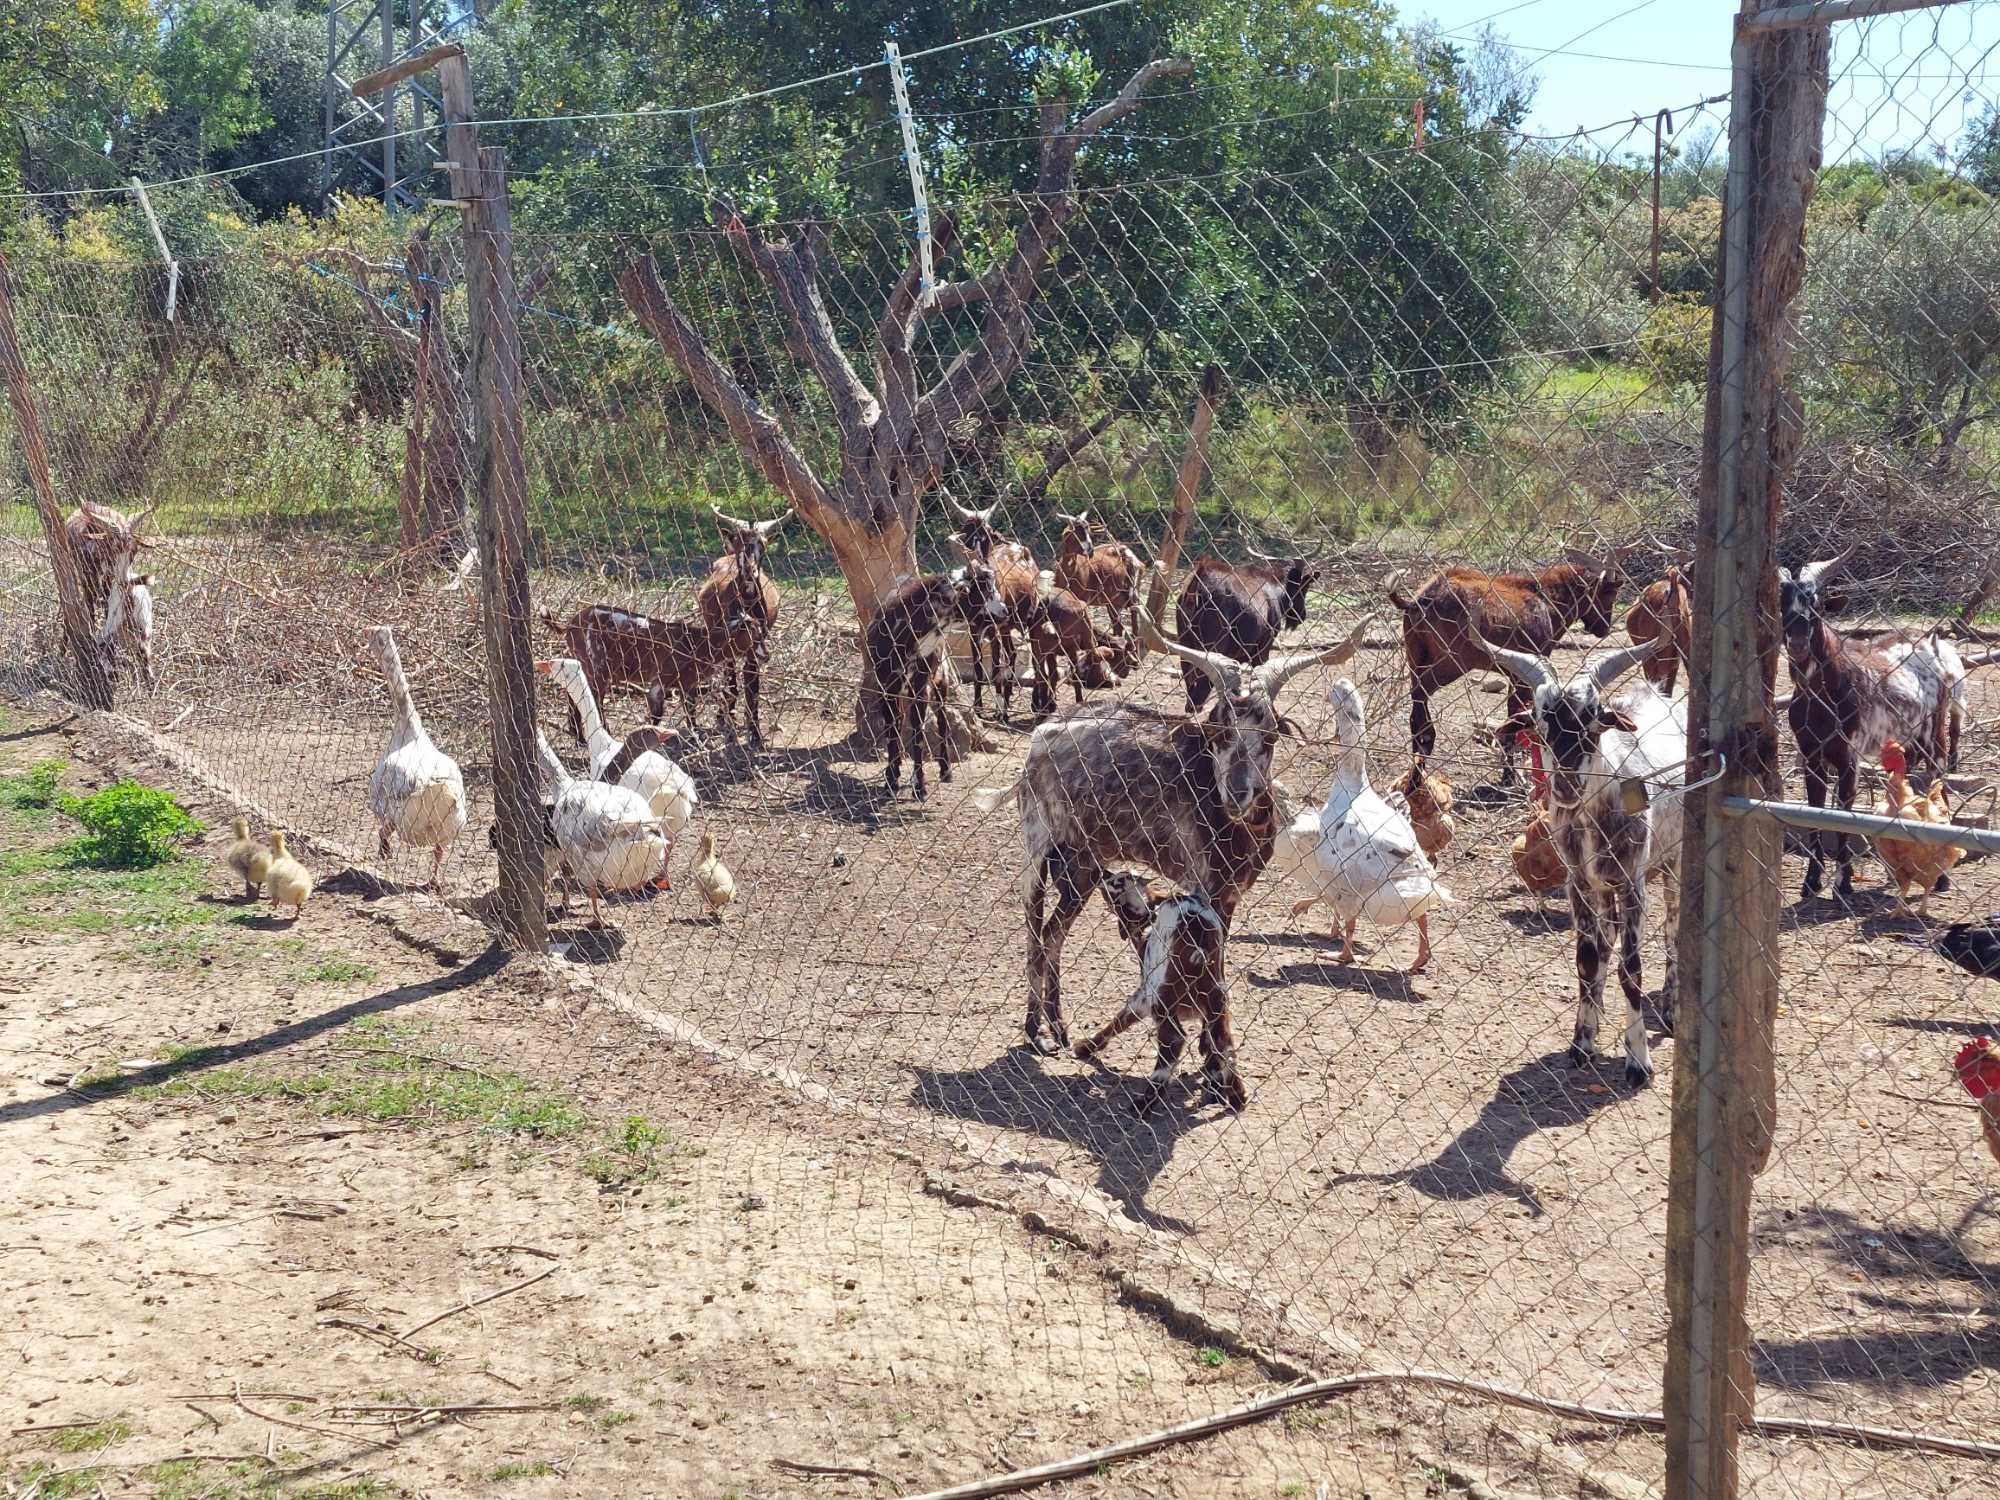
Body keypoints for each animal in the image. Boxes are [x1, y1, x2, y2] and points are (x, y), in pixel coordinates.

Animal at [696, 508, 788, 752]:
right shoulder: (727, 645)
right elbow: (732, 687)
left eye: (762, 543)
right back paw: (723, 716)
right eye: (738, 541)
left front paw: (755, 735)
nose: (749, 570)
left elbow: (752, 690)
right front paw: (729, 730)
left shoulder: (756, 648)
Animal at [1392, 552, 1624, 788]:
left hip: (1415, 658)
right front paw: (1510, 776)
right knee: (1420, 697)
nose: (1603, 628)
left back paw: (1417, 772)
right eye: (1610, 593)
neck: (1546, 598)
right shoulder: (1525, 672)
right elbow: (1513, 723)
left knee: (1416, 713)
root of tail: (1420, 601)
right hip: (1451, 664)